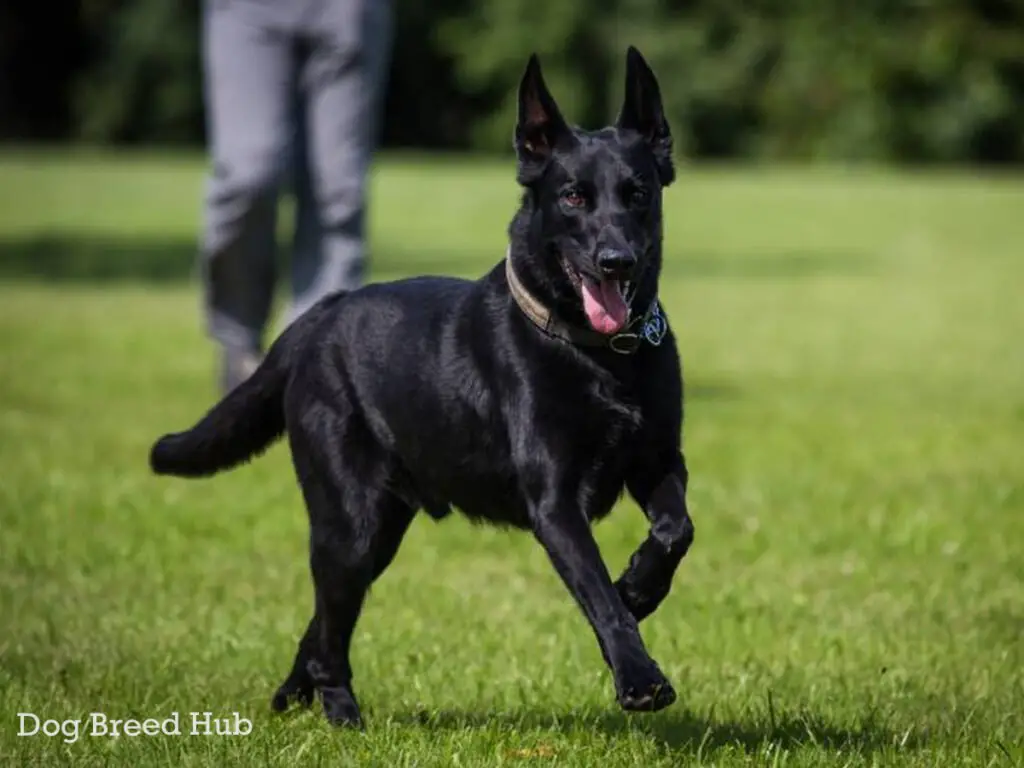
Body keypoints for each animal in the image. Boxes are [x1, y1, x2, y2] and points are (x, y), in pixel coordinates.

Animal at [149, 45, 696, 729]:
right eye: (573, 197)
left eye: (638, 194)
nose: (615, 259)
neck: (599, 358)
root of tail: (320, 316)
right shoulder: (554, 505)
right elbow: (599, 597)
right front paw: (640, 676)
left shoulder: (656, 461)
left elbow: (676, 531)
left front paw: (639, 585)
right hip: (350, 524)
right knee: (331, 627)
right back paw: (342, 715)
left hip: (380, 529)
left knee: (323, 623)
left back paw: (295, 696)